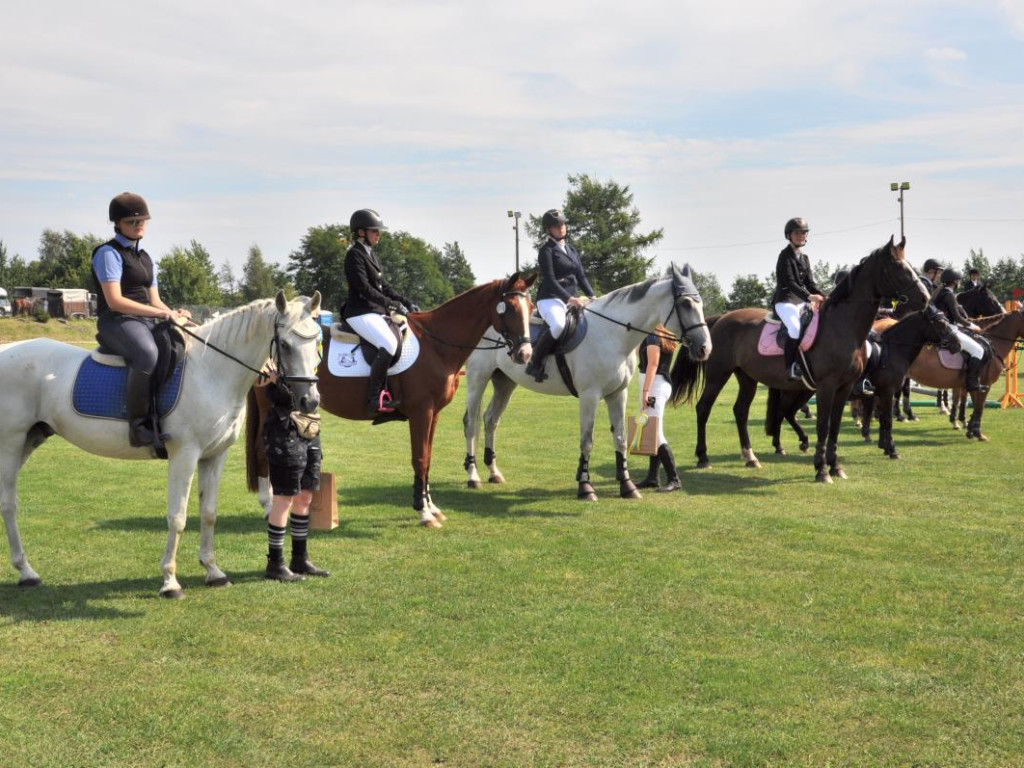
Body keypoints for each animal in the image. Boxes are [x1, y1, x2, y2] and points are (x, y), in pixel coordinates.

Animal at [0, 290, 319, 598]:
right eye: (286, 345)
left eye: (316, 342)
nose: (310, 401)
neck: (212, 371)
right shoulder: (185, 455)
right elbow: (177, 517)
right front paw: (170, 582)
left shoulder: (215, 456)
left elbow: (209, 514)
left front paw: (213, 571)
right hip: (11, 442)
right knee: (9, 504)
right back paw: (26, 572)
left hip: (31, 438)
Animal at [246, 272, 536, 528]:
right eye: (510, 308)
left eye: (531, 307)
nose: (524, 354)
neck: (436, 345)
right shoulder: (421, 412)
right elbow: (420, 458)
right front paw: (423, 513)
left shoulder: (434, 414)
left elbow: (428, 457)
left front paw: (431, 507)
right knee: (261, 451)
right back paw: (269, 507)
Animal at [464, 268, 712, 501]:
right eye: (686, 303)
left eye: (700, 302)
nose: (705, 348)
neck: (612, 334)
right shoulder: (589, 395)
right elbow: (587, 441)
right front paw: (585, 487)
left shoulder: (618, 394)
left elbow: (621, 439)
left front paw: (627, 486)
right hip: (477, 379)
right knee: (471, 423)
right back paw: (473, 476)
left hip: (505, 382)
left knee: (491, 420)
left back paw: (494, 472)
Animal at [667, 237, 933, 483]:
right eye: (897, 268)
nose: (925, 299)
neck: (843, 326)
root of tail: (719, 319)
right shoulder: (827, 387)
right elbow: (824, 425)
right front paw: (822, 470)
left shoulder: (845, 387)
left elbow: (835, 425)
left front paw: (836, 467)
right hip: (718, 375)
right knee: (704, 408)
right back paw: (703, 457)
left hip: (747, 378)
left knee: (741, 411)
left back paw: (750, 457)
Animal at [909, 305, 1019, 438]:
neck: (994, 345)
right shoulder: (984, 384)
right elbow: (978, 406)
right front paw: (975, 431)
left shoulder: (967, 384)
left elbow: (965, 401)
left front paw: (966, 426)